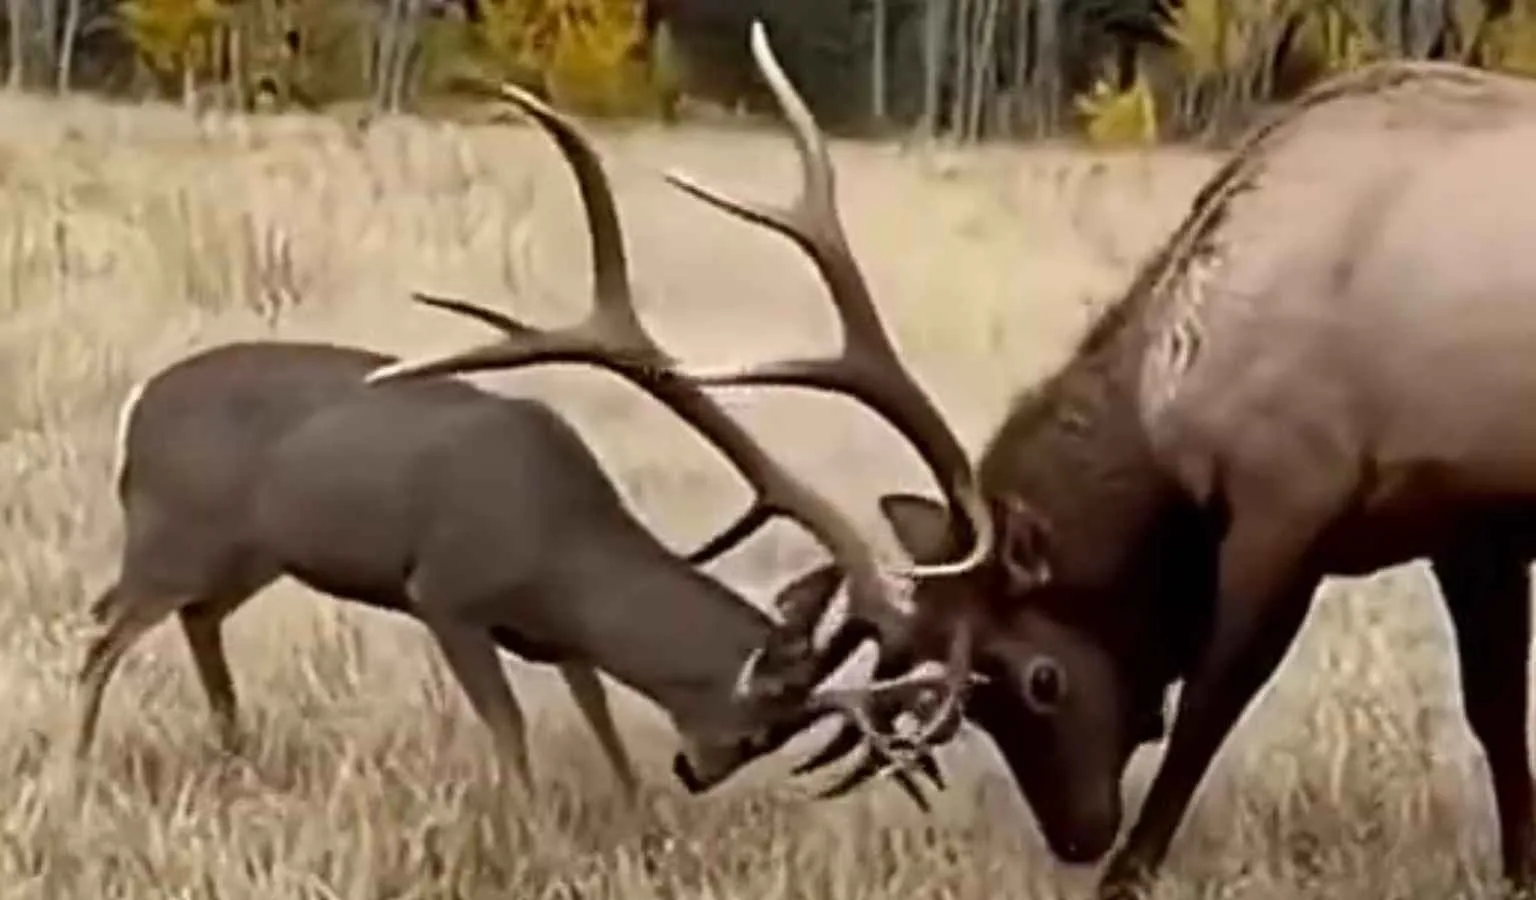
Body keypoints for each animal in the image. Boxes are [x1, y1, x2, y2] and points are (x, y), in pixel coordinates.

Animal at [74, 62, 1001, 807]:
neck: (561, 553)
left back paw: (230, 746)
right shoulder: (445, 592)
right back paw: (77, 769)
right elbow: (512, 731)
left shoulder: (559, 639)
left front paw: (634, 815)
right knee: (103, 629)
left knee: (196, 619)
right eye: (764, 726)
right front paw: (529, 824)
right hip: (172, 529)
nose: (695, 771)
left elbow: (601, 720)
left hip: (251, 555)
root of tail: (137, 409)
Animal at [376, 25, 1536, 900]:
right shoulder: (1466, 519)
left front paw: (1129, 872)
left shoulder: (1291, 496)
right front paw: (1519, 866)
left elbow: (1213, 698)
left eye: (1038, 678)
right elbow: (1494, 708)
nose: (1076, 835)